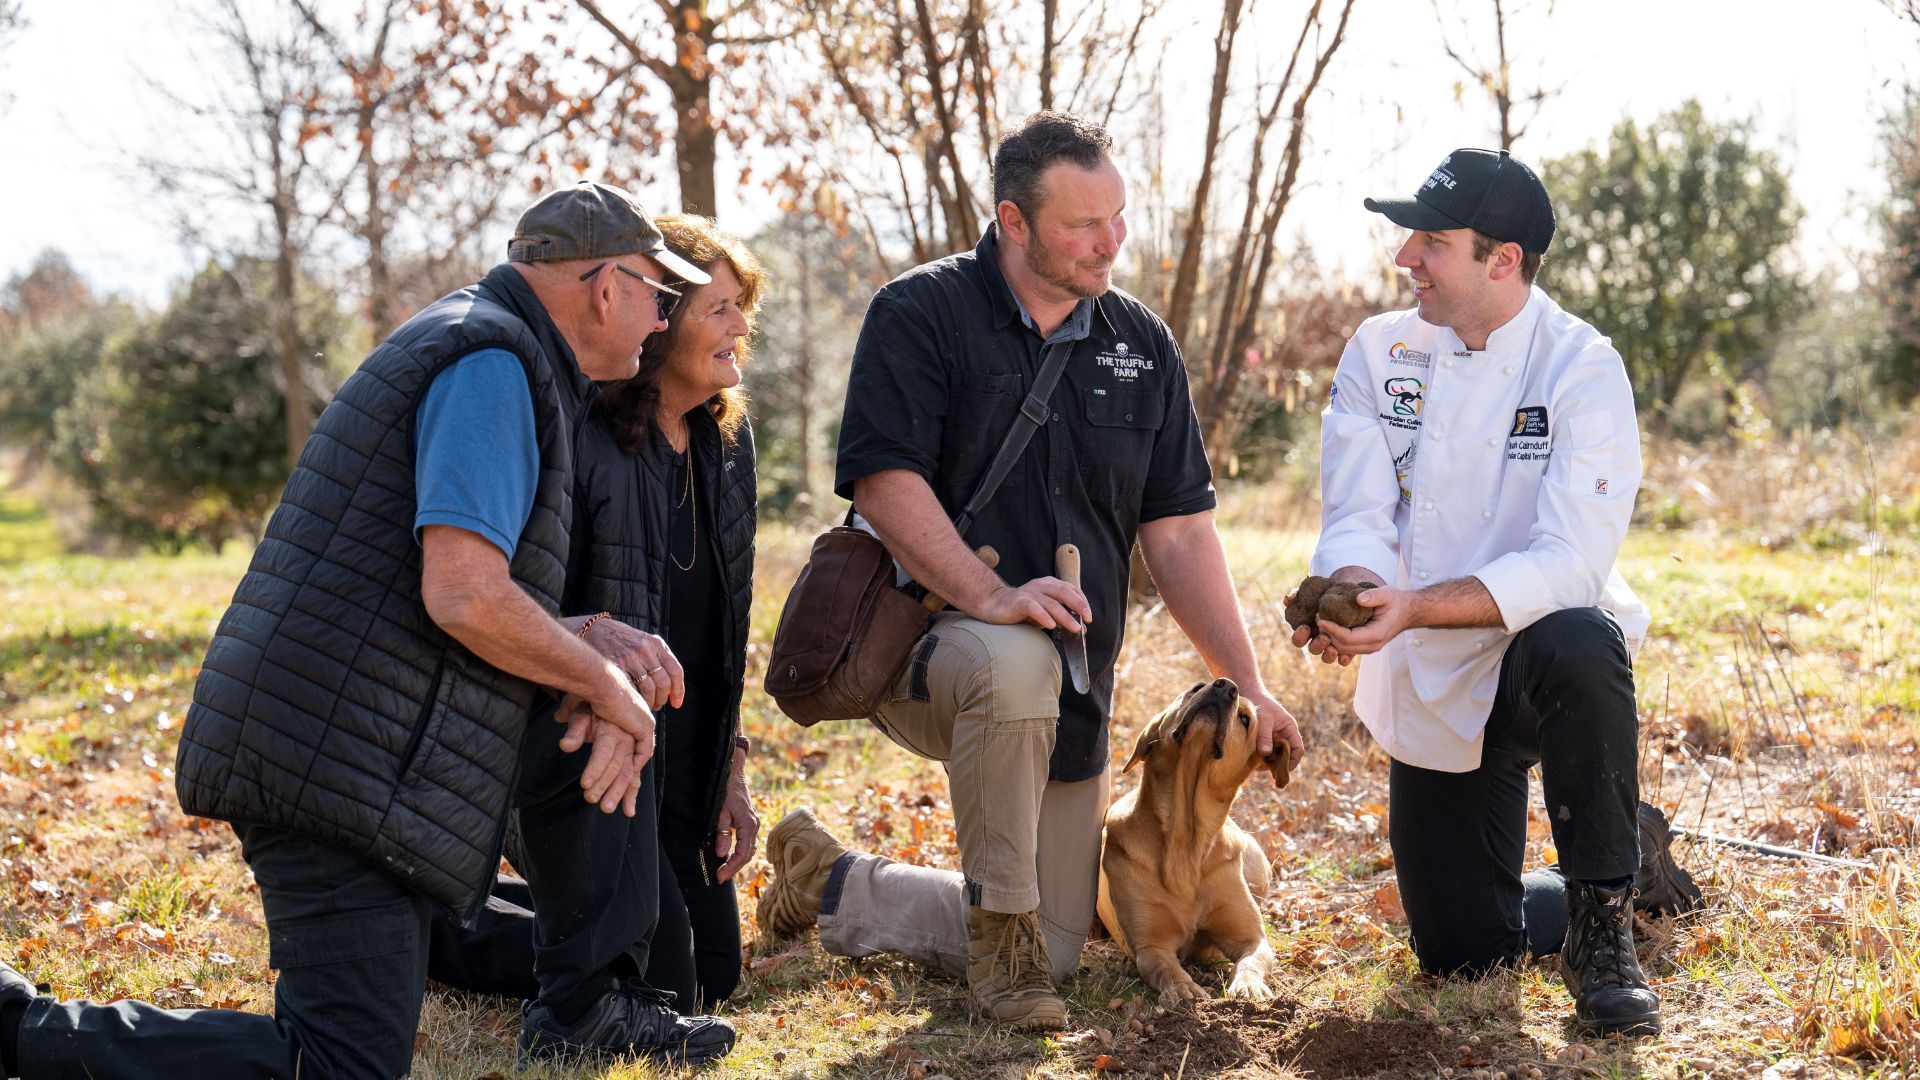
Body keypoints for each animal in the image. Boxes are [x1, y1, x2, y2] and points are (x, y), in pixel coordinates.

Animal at [1105, 676, 1282, 1006]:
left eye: (1245, 719)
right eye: (1197, 687)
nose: (1225, 686)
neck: (1185, 839)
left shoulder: (1252, 937)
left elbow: (1251, 961)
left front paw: (1249, 986)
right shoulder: (1152, 946)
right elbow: (1166, 968)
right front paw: (1182, 988)